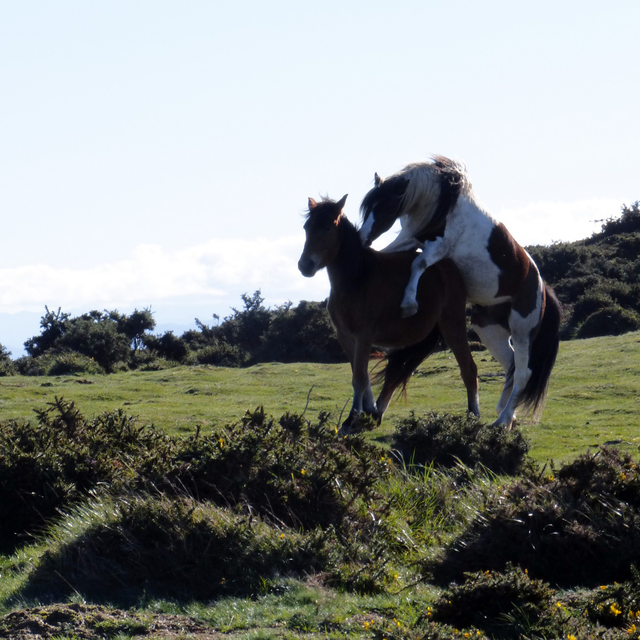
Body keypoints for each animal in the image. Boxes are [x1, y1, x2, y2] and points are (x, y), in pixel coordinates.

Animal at [298, 192, 478, 428]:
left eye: (328, 227)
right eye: (306, 227)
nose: (305, 266)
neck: (357, 278)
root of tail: (447, 267)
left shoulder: (363, 336)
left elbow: (359, 378)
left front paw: (352, 417)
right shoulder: (345, 337)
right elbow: (361, 375)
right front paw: (366, 411)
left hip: (453, 326)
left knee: (469, 369)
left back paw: (474, 417)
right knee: (397, 372)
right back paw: (378, 412)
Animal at [360, 156, 560, 428]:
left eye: (385, 207)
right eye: (367, 207)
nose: (362, 239)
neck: (446, 206)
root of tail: (543, 289)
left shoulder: (439, 248)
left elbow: (418, 264)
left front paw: (409, 303)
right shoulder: (411, 239)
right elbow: (389, 253)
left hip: (521, 332)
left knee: (523, 373)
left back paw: (502, 420)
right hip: (488, 328)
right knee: (510, 366)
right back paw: (506, 415)